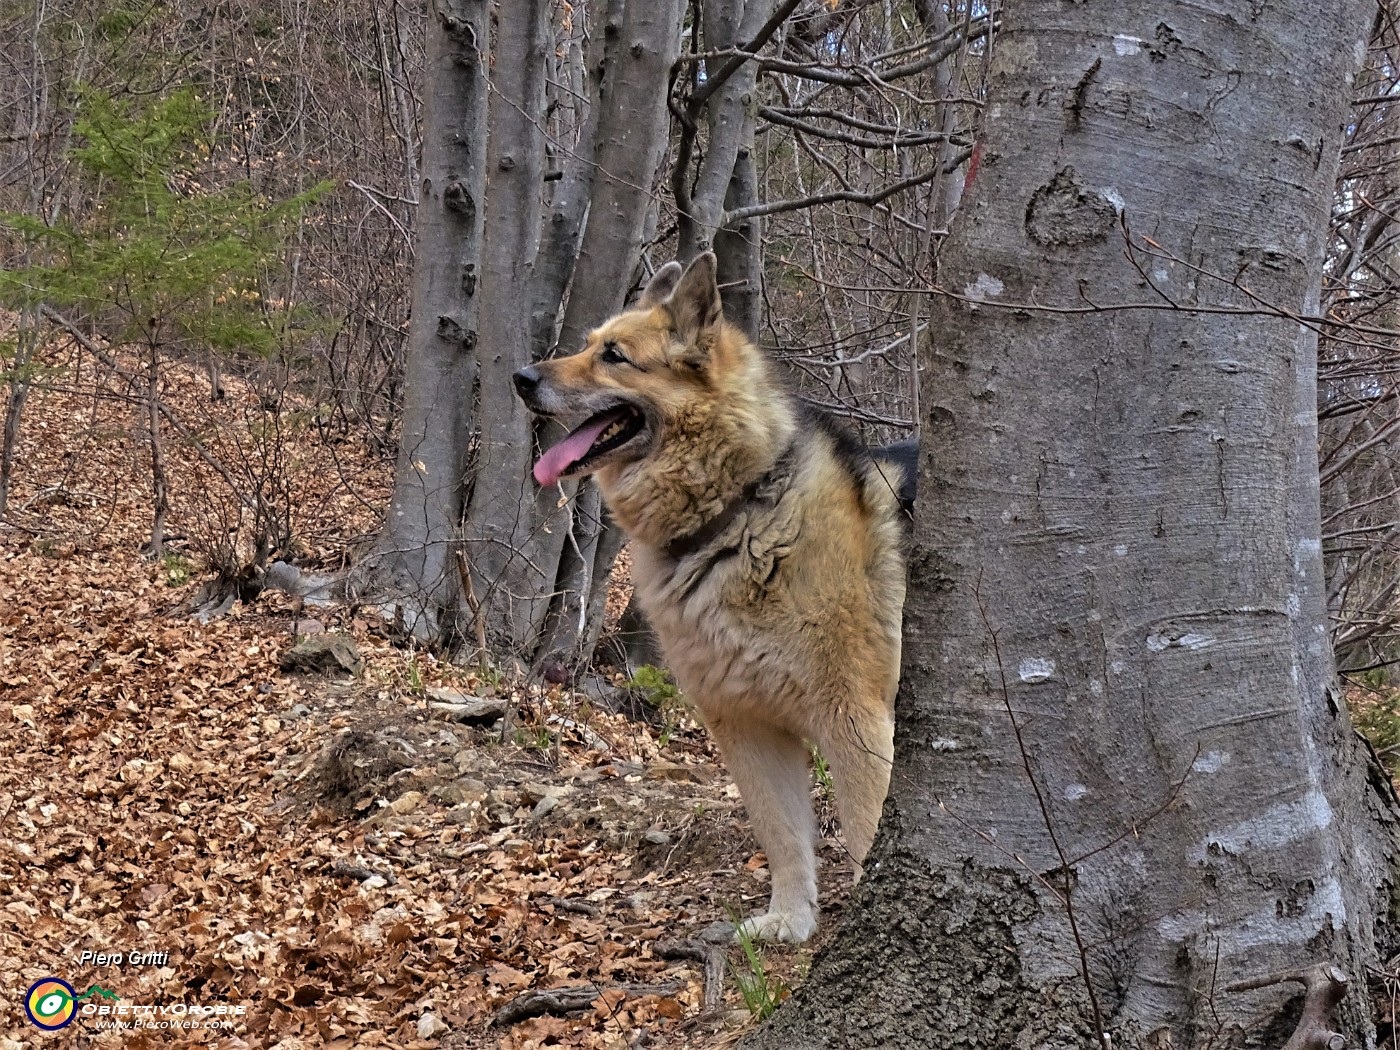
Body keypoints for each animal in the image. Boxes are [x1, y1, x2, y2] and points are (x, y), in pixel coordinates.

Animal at [512, 254, 907, 946]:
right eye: (588, 343)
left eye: (614, 356)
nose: (521, 377)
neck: (735, 515)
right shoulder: (746, 727)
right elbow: (783, 837)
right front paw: (790, 921)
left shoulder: (854, 722)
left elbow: (864, 834)